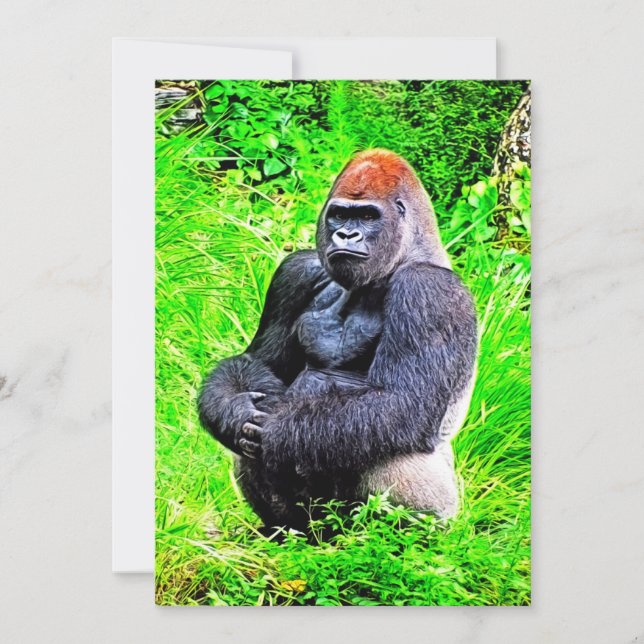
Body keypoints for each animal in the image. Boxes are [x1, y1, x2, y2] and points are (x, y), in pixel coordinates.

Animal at [198, 149, 478, 530]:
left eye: (368, 216)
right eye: (340, 215)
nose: (346, 234)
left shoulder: (429, 291)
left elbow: (402, 403)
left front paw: (275, 429)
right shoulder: (296, 270)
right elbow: (258, 364)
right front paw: (233, 411)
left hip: (444, 512)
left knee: (392, 450)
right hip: (320, 523)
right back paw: (286, 531)